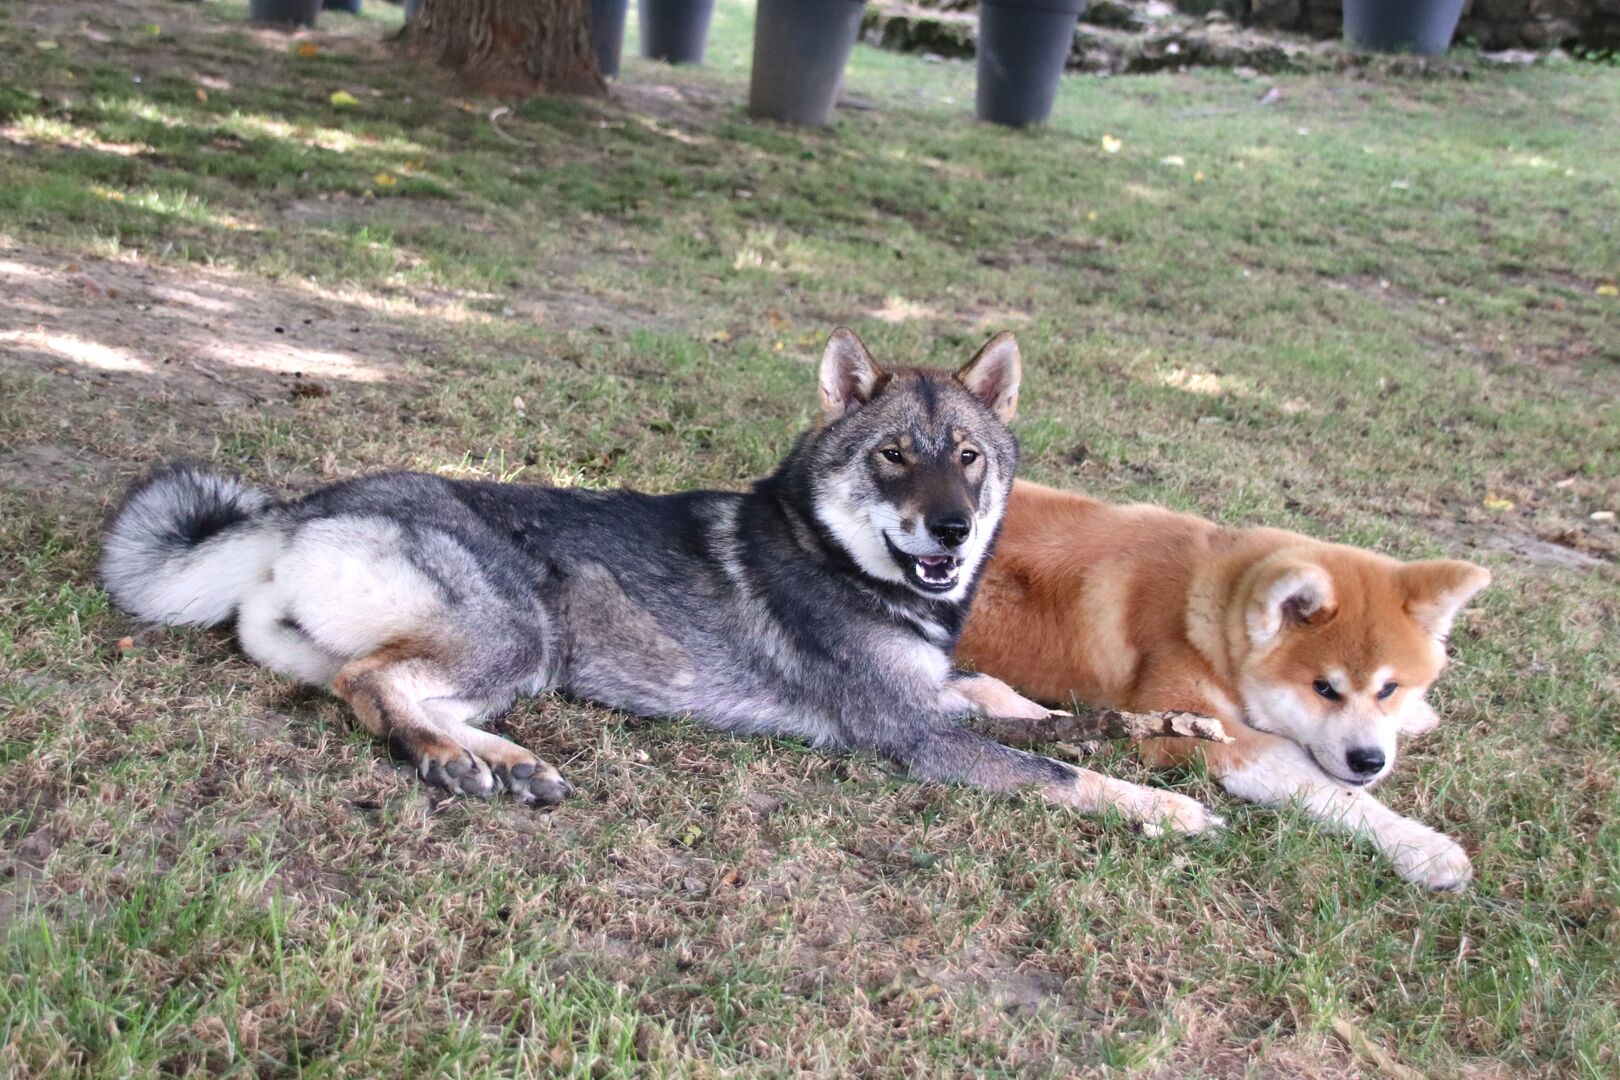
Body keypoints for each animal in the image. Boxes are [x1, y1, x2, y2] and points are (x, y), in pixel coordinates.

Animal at [99, 330, 1216, 834]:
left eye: (970, 458)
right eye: (896, 454)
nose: (951, 526)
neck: (833, 553)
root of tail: (296, 512)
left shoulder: (941, 691)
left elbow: (1006, 694)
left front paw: (1122, 723)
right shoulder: (917, 740)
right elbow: (1056, 768)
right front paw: (1168, 806)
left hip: (501, 653)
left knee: (384, 683)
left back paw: (509, 760)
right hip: (519, 626)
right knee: (371, 686)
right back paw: (457, 763)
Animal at [957, 480, 1491, 889]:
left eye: (1388, 688)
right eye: (1324, 688)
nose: (1369, 761)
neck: (1211, 601)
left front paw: (1418, 717)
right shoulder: (1186, 725)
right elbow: (1317, 782)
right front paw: (1419, 845)